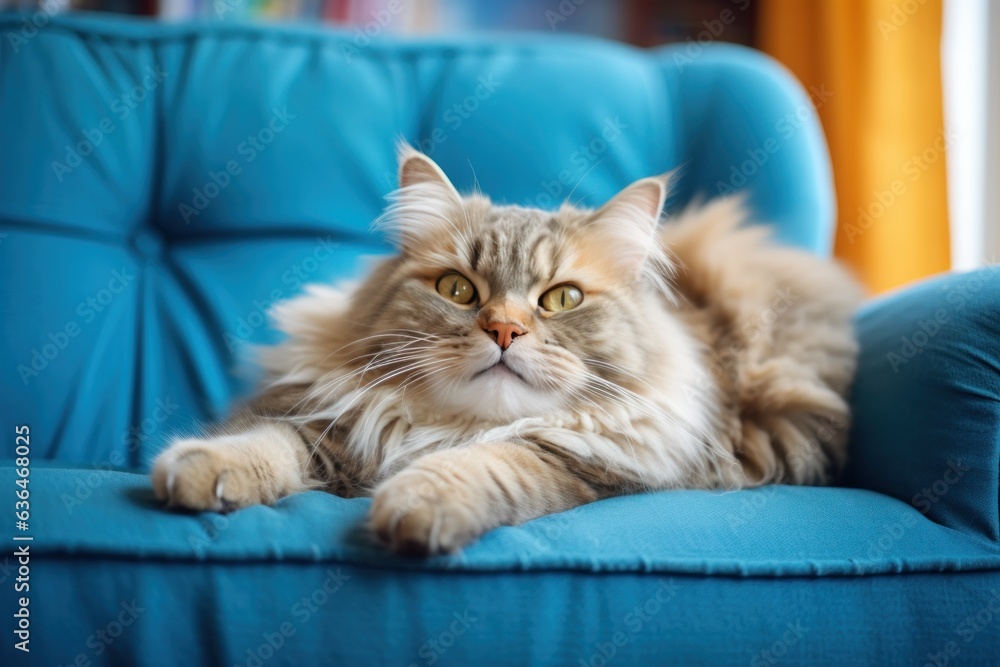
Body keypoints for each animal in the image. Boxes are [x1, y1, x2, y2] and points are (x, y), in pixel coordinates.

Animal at [152, 146, 864, 560]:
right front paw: (197, 471)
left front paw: (416, 504)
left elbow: (486, 462)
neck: (450, 426)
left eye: (562, 299)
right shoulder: (332, 419)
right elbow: (266, 440)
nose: (503, 331)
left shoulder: (583, 460)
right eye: (458, 290)